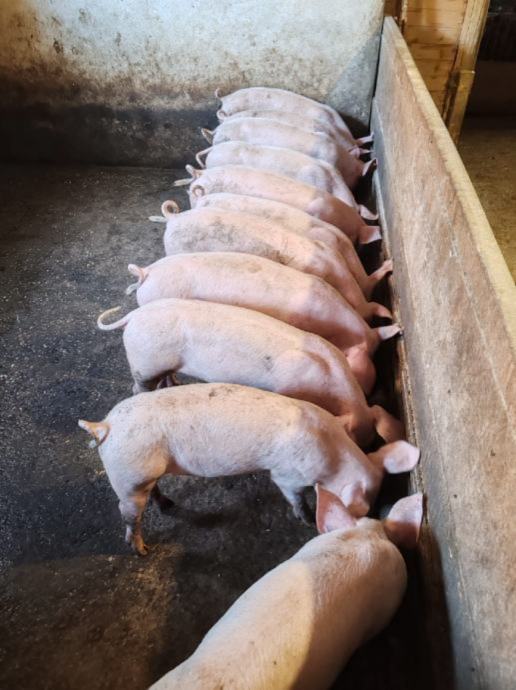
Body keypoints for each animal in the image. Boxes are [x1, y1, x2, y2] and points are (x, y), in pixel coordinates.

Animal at [78, 383, 420, 554]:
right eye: (367, 499)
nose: (369, 514)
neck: (333, 455)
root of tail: (104, 426)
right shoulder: (285, 475)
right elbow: (294, 496)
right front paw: (305, 519)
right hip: (128, 477)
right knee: (128, 515)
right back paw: (142, 550)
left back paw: (168, 504)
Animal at [97, 298, 403, 446]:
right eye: (349, 437)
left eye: (369, 440)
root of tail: (132, 317)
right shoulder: (288, 388)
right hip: (143, 362)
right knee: (137, 386)